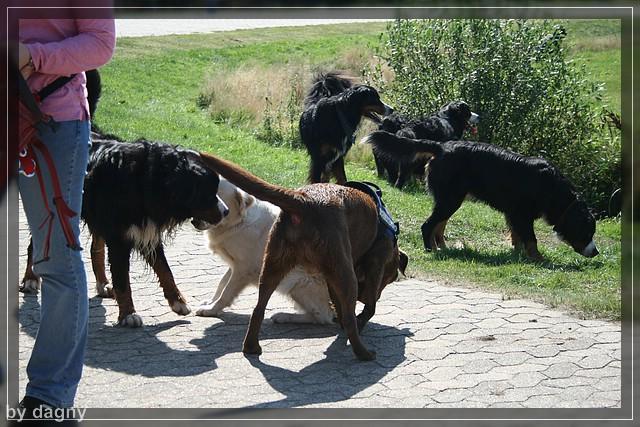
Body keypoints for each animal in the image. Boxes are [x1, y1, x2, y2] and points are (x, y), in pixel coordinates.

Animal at [192, 180, 336, 324]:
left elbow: (226, 292)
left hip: (297, 282)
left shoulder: (244, 269)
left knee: (323, 316)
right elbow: (222, 283)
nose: (194, 221)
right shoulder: (235, 265)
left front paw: (211, 310)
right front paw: (210, 302)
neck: (238, 223)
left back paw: (284, 316)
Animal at [364, 132, 600, 262]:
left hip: (450, 199)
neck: (552, 189)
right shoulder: (522, 215)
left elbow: (517, 237)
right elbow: (531, 240)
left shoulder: (513, 214)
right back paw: (431, 250)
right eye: (587, 232)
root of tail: (442, 146)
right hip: (450, 199)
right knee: (428, 225)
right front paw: (539, 259)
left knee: (438, 225)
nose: (596, 252)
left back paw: (442, 247)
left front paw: (517, 254)